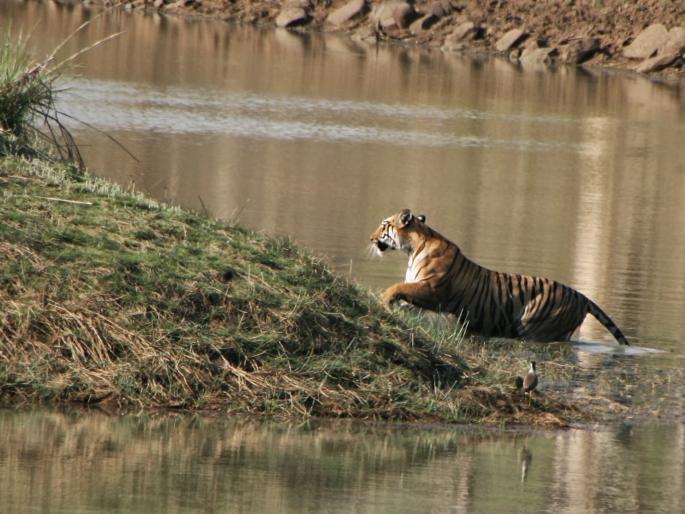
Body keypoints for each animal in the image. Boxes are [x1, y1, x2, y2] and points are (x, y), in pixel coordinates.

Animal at [369, 209, 630, 345]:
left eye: (384, 225)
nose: (371, 238)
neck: (412, 248)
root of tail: (581, 296)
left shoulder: (432, 288)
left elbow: (397, 287)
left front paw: (382, 300)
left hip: (537, 328)